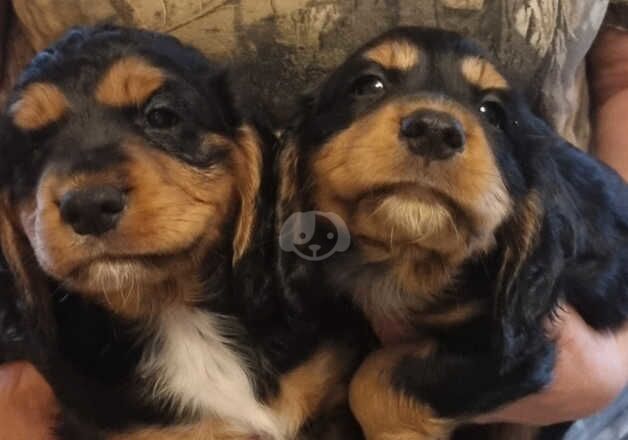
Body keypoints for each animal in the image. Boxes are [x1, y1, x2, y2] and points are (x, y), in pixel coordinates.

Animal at [282, 25, 628, 438]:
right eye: (368, 85)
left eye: (492, 113)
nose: (434, 130)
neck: (409, 261)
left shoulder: (515, 348)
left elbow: (373, 378)